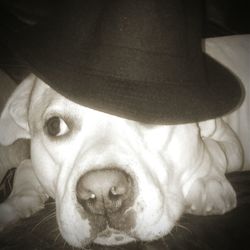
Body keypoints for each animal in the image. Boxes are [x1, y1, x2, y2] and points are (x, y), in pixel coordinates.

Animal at [0, 35, 249, 246]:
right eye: (55, 126)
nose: (101, 192)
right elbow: (25, 165)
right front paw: (16, 202)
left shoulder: (233, 145)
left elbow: (215, 150)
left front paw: (207, 182)